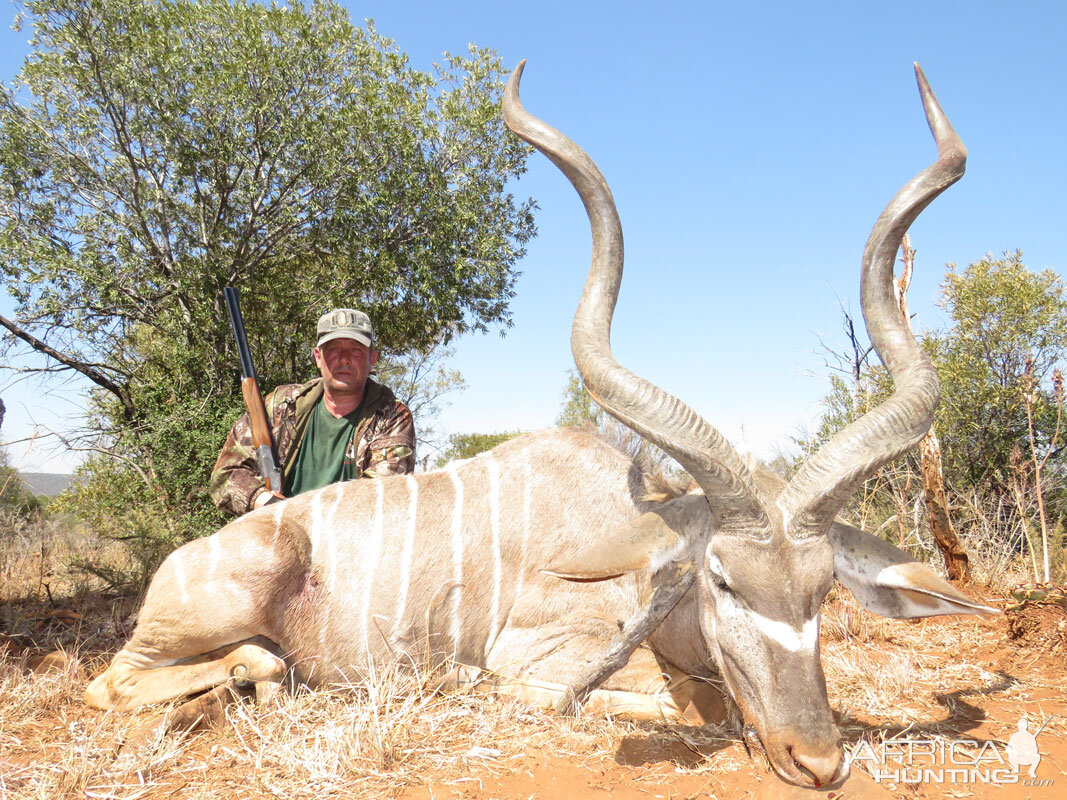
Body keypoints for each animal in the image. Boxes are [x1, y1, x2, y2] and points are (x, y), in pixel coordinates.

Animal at [87, 62, 994, 789]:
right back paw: (254, 677)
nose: (818, 760)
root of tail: (184, 562)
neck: (632, 538)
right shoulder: (532, 660)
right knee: (120, 679)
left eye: (822, 589)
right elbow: (689, 707)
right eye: (724, 581)